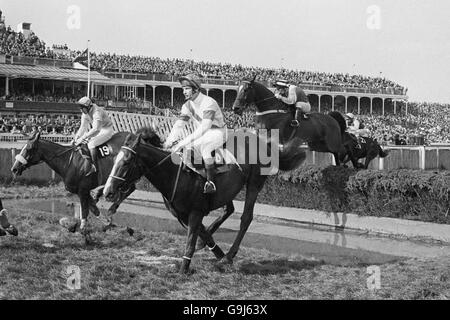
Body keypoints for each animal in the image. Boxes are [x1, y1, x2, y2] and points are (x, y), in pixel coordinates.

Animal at [102, 126, 306, 274]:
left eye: (126, 162)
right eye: (114, 159)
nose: (108, 191)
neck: (175, 173)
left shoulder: (195, 212)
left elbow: (191, 239)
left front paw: (184, 268)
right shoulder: (184, 214)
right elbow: (202, 234)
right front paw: (215, 251)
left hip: (254, 184)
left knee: (246, 218)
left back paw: (230, 254)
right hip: (229, 189)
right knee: (228, 210)